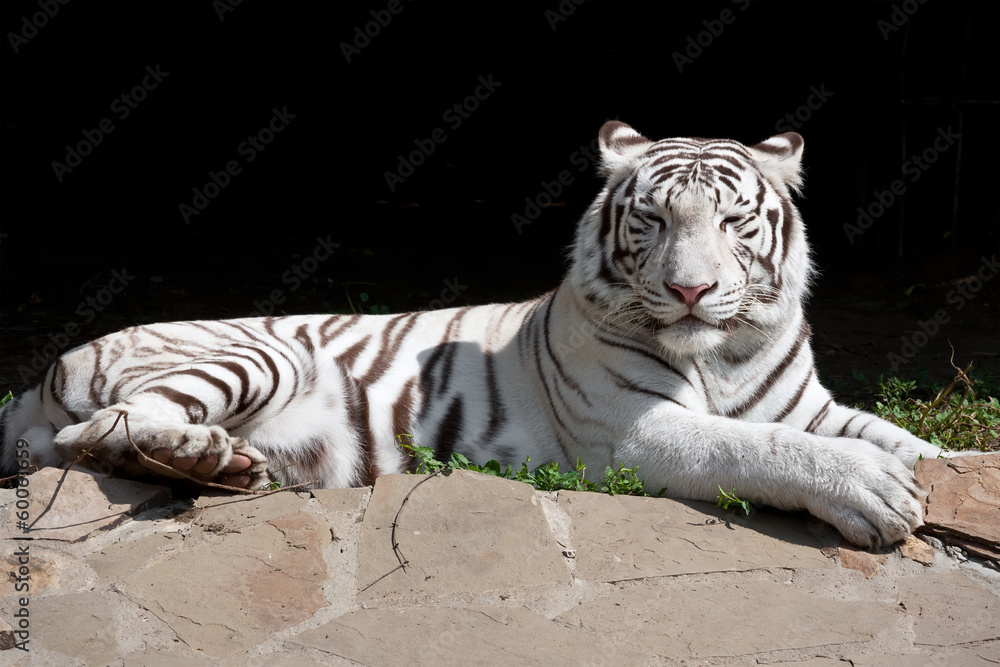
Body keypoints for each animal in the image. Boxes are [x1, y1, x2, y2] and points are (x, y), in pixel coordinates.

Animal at [0, 121, 961, 549]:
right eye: (652, 219)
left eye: (733, 221)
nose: (691, 288)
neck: (723, 351)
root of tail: (38, 375)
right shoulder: (631, 430)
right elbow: (750, 447)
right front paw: (874, 492)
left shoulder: (811, 405)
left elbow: (913, 441)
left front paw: (928, 468)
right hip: (256, 351)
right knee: (103, 432)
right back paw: (208, 458)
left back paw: (229, 466)